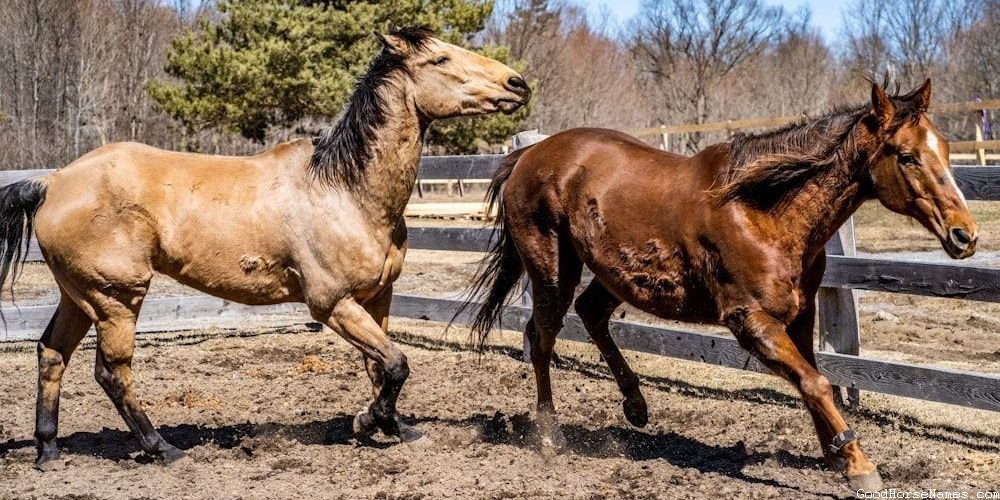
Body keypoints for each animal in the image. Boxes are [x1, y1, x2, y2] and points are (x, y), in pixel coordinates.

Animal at [0, 26, 532, 472]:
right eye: (441, 58)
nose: (517, 83)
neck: (345, 189)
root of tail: (52, 183)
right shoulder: (333, 304)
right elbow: (396, 363)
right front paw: (367, 422)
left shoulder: (377, 298)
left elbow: (381, 368)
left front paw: (394, 427)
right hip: (116, 299)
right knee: (111, 373)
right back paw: (162, 449)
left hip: (78, 296)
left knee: (51, 353)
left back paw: (48, 451)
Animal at [460, 80, 976, 490]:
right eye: (907, 156)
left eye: (947, 150)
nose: (965, 235)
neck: (762, 209)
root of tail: (526, 155)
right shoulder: (750, 320)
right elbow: (816, 382)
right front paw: (859, 466)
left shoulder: (800, 314)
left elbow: (814, 381)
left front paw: (835, 454)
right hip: (553, 272)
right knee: (541, 337)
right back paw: (551, 436)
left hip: (615, 273)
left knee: (590, 314)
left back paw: (636, 406)